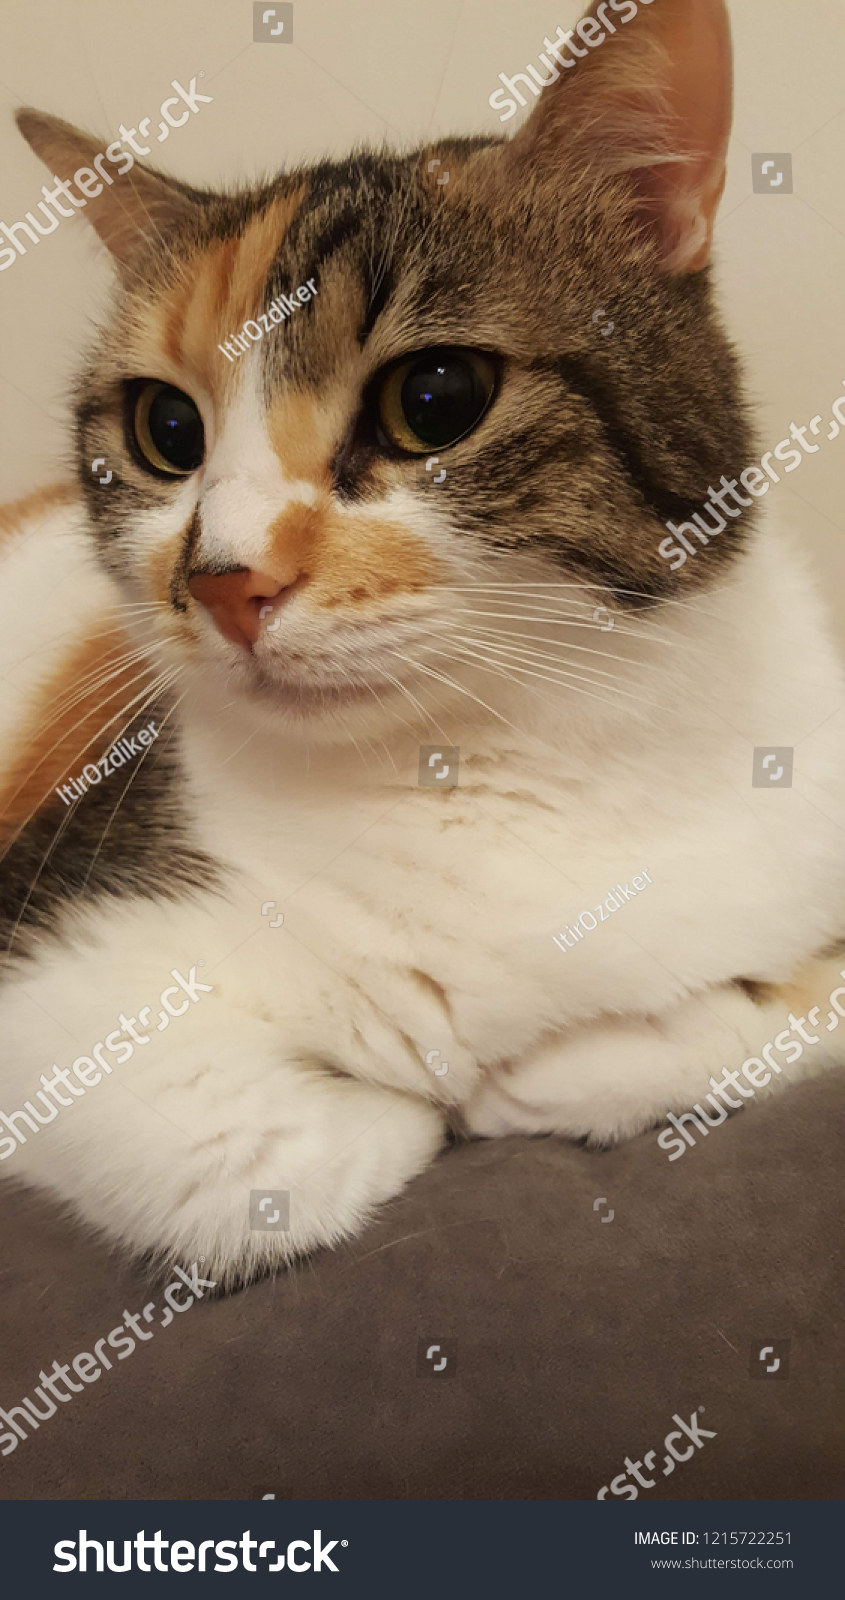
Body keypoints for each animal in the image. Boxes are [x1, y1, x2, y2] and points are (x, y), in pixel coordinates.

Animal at [1, 0, 845, 1280]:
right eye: (166, 431)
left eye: (435, 398)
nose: (222, 580)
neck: (507, 757)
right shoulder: (58, 954)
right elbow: (312, 1143)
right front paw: (447, 1077)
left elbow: (782, 1000)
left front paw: (551, 1065)